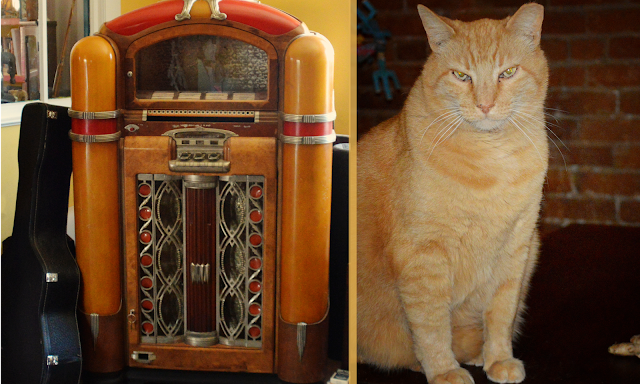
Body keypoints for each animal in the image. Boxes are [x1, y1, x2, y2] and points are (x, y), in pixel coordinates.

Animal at [358, 3, 548, 384]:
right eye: (461, 76)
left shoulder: (516, 248)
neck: (492, 159)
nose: (485, 105)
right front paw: (444, 369)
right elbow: (432, 326)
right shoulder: (424, 256)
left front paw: (498, 359)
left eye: (508, 72)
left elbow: (500, 316)